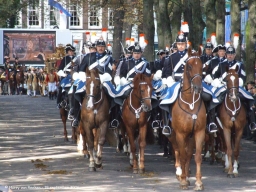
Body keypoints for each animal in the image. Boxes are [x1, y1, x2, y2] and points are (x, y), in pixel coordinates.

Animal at [168, 47, 206, 190]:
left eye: (201, 66)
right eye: (189, 66)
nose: (198, 88)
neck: (190, 103)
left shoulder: (199, 132)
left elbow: (196, 156)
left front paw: (198, 182)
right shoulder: (180, 133)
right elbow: (182, 155)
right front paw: (183, 180)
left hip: (190, 136)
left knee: (188, 153)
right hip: (173, 134)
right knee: (177, 151)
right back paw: (180, 173)